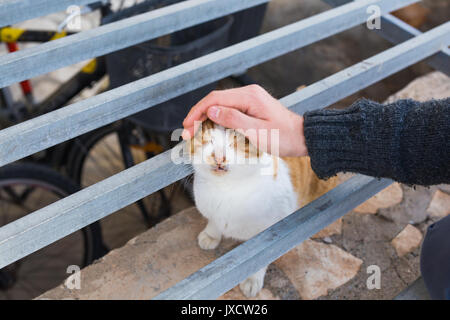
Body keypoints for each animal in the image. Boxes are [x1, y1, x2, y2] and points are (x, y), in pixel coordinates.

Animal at [187, 118, 338, 298]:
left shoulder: (267, 234)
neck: (224, 189)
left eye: (233, 144)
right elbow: (214, 221)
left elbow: (259, 258)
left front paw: (252, 280)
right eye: (209, 140)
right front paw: (211, 235)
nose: (218, 157)